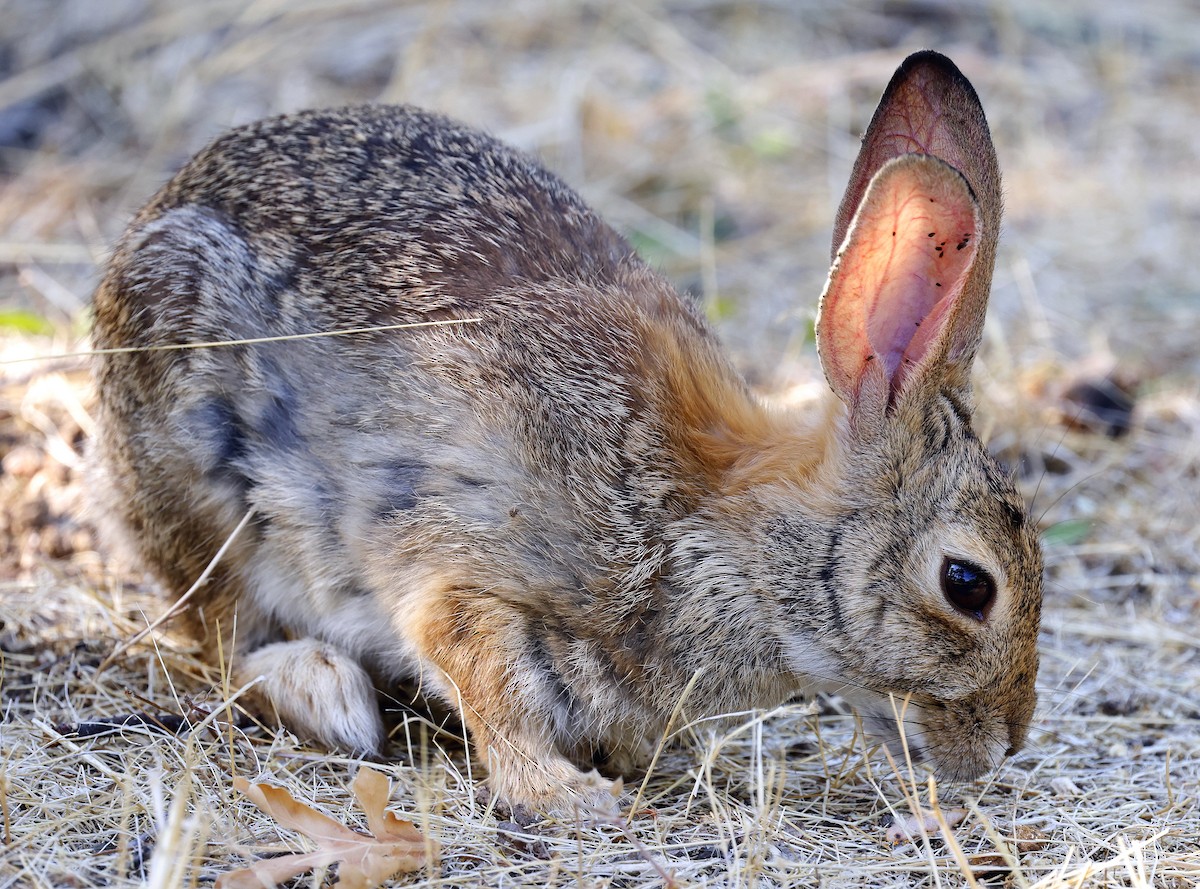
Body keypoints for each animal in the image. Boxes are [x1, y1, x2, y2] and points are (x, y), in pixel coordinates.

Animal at [89, 50, 1043, 814]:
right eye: (968, 584)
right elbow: (489, 682)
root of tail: (158, 210)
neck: (720, 527)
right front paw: (566, 796)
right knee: (222, 631)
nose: (1009, 742)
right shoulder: (461, 570)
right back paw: (322, 687)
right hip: (202, 471)